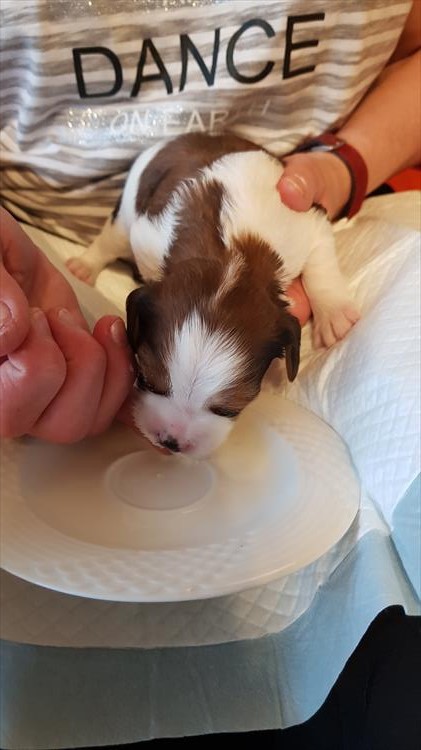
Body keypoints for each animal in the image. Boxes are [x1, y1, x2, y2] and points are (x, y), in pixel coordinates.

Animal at [67, 133, 359, 458]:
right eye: (145, 380)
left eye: (229, 409)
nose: (171, 441)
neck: (230, 259)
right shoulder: (144, 233)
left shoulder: (307, 224)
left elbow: (321, 264)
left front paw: (334, 313)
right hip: (131, 204)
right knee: (111, 237)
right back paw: (83, 266)